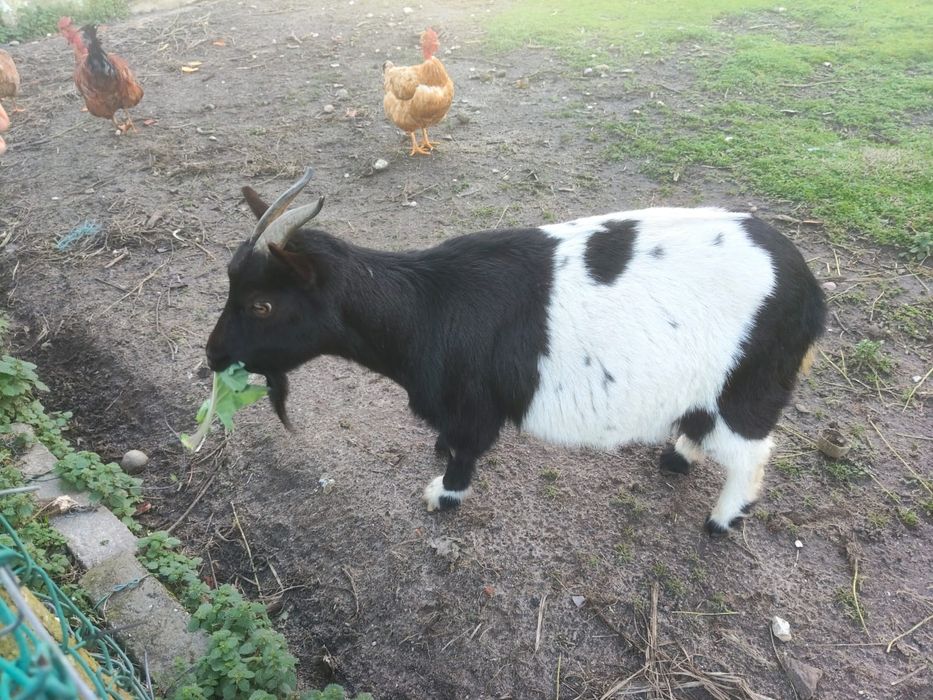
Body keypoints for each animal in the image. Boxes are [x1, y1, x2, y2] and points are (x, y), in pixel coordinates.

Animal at [206, 170, 826, 533]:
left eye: (260, 305)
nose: (212, 357)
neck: (428, 304)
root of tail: (811, 291)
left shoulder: (473, 404)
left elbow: (465, 451)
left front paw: (444, 495)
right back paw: (678, 458)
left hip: (748, 386)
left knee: (752, 453)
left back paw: (722, 520)